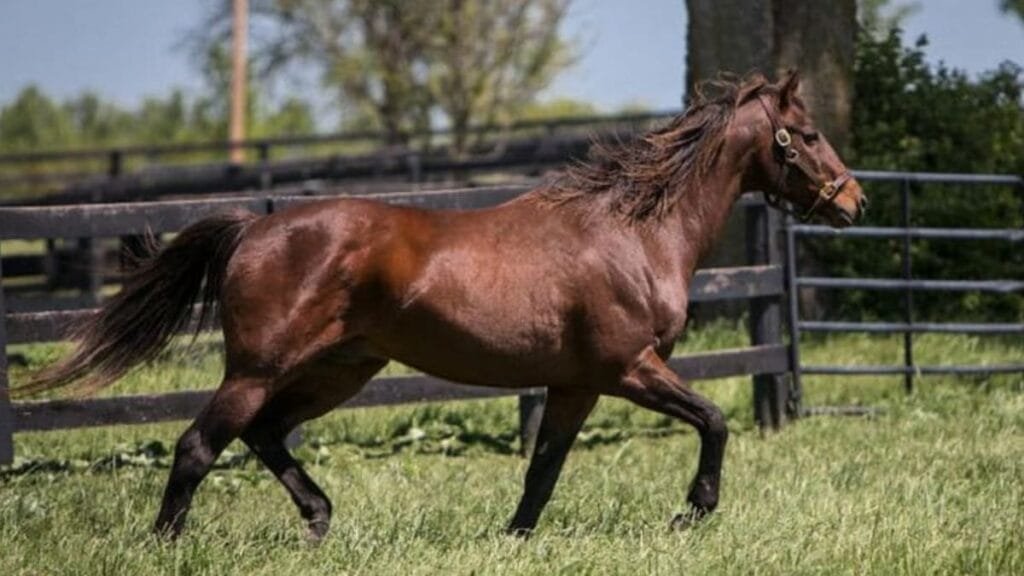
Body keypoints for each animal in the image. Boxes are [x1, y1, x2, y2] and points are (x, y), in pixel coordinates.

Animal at [17, 72, 867, 540]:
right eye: (807, 133)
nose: (853, 200)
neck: (634, 231)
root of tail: (254, 227)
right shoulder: (630, 368)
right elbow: (716, 421)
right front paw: (693, 512)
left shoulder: (575, 383)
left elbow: (544, 469)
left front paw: (514, 539)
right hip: (257, 369)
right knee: (199, 446)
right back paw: (171, 543)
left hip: (340, 370)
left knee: (263, 436)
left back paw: (320, 518)